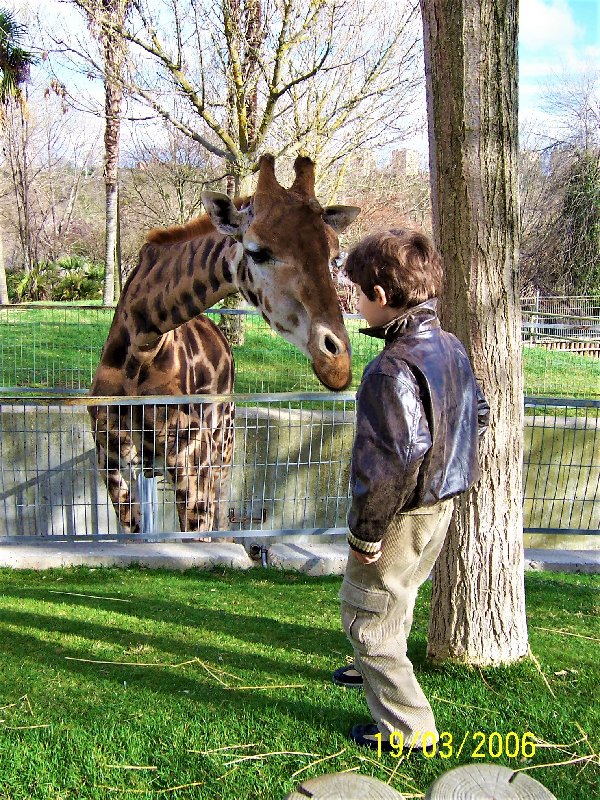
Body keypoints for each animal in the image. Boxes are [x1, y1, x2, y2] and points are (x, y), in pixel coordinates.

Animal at [89, 153, 358, 536]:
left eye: (335, 257)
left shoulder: (191, 461)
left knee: (221, 510)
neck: (140, 350)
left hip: (223, 442)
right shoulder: (110, 462)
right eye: (257, 252)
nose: (337, 365)